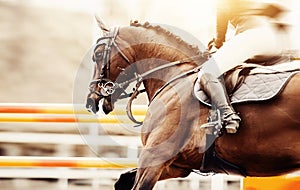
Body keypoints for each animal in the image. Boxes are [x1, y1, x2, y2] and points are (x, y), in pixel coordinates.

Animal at [85, 20, 300, 189]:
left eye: (97, 54)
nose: (90, 100)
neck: (174, 76)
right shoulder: (177, 166)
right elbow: (123, 180)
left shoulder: (154, 157)